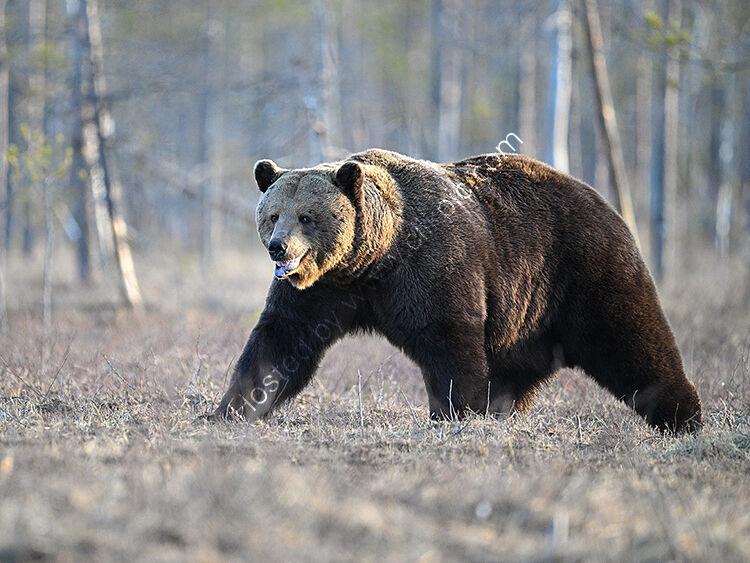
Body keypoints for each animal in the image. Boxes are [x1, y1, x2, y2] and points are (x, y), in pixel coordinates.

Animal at [209, 148, 702, 433]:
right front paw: (230, 409)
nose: (278, 247)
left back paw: (683, 415)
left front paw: (454, 414)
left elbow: (449, 341)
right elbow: (281, 343)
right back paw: (501, 411)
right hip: (524, 318)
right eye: (273, 214)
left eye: (307, 216)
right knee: (514, 371)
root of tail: (604, 200)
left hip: (583, 270)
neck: (373, 260)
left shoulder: (431, 267)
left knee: (631, 340)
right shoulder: (322, 292)